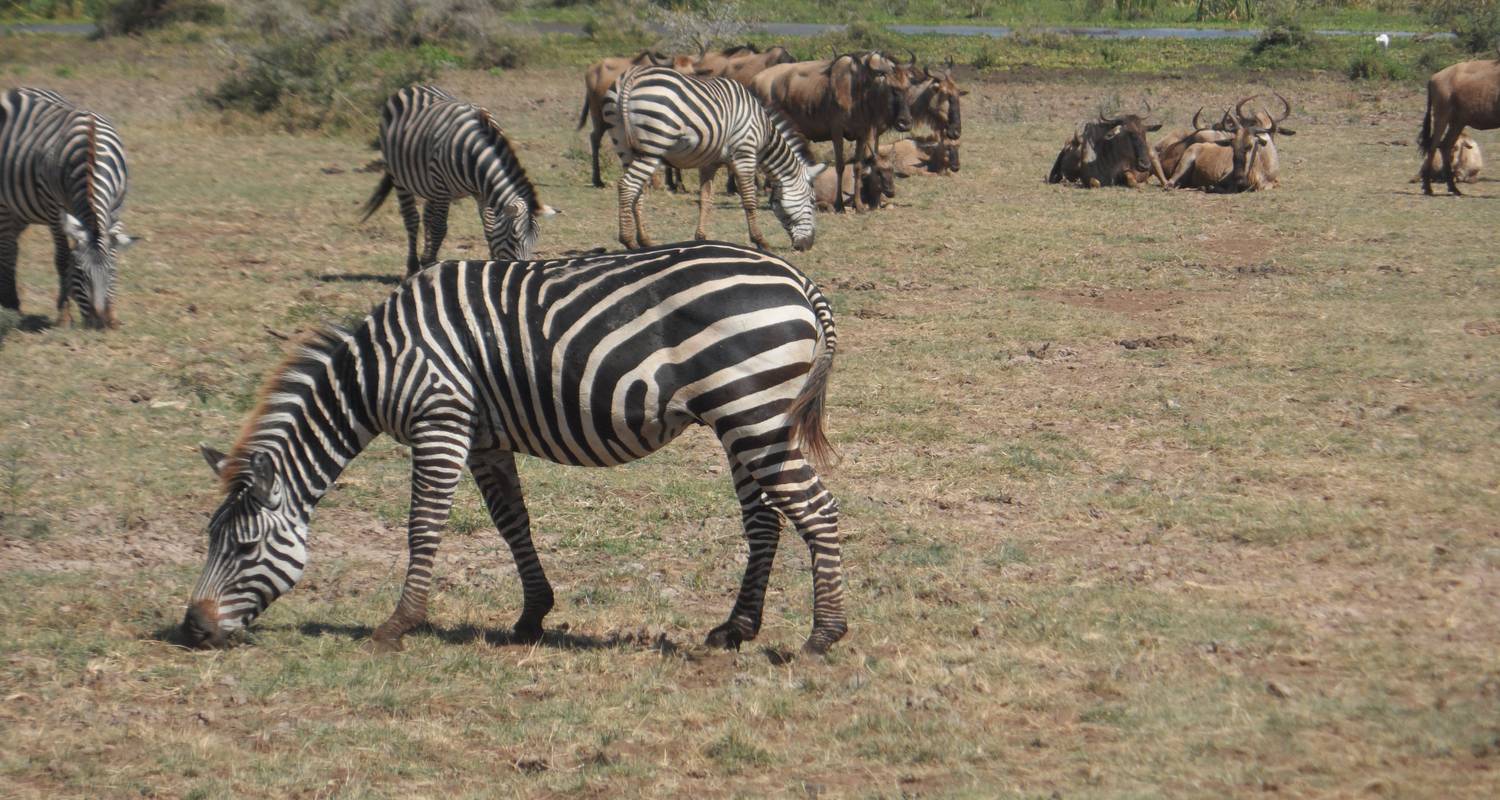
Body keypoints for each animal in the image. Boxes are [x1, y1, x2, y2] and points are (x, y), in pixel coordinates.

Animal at [0, 85, 132, 325]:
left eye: (111, 272)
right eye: (80, 273)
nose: (100, 323)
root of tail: (18, 89)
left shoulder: (115, 208)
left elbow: (113, 251)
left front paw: (112, 314)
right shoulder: (54, 210)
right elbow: (62, 258)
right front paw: (64, 315)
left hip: (21, 209)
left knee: (11, 245)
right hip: (5, 204)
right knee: (8, 249)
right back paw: (10, 304)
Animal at [178, 241, 846, 654]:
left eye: (244, 547)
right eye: (210, 540)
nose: (192, 629)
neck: (374, 370)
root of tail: (797, 278)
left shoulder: (440, 420)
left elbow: (424, 525)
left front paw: (398, 624)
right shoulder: (482, 440)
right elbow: (511, 523)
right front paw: (531, 617)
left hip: (751, 411)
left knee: (816, 509)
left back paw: (823, 636)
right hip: (746, 418)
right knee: (765, 520)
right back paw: (736, 629)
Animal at [361, 84, 558, 277]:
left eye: (536, 239)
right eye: (514, 237)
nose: (521, 269)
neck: (474, 154)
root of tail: (412, 87)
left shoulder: (483, 192)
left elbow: (488, 228)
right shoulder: (443, 187)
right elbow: (439, 227)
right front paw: (430, 264)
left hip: (429, 185)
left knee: (426, 216)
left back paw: (424, 258)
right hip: (400, 177)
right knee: (412, 219)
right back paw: (413, 267)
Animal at [600, 66, 834, 252]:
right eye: (812, 201)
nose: (807, 246)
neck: (764, 133)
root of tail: (632, 75)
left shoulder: (709, 163)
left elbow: (706, 200)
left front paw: (701, 238)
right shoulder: (744, 154)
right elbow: (749, 200)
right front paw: (760, 241)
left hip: (625, 147)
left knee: (636, 191)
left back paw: (645, 241)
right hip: (653, 145)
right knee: (627, 185)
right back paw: (628, 241)